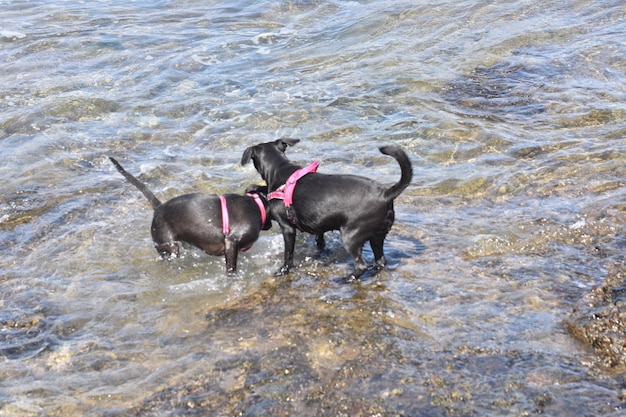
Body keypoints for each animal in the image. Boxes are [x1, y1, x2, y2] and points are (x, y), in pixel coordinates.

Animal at [241, 139, 412, 280]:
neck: (280, 170)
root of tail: (386, 194)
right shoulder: (318, 225)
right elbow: (320, 242)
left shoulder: (287, 228)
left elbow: (288, 254)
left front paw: (283, 270)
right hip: (377, 235)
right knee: (381, 260)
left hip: (351, 236)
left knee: (361, 265)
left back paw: (347, 279)